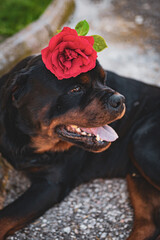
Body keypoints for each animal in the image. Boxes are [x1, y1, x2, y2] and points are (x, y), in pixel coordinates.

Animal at [0, 55, 159, 239]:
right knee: (148, 224)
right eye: (75, 89)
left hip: (142, 143)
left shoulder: (51, 185)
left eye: (103, 80)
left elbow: (6, 216)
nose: (119, 100)